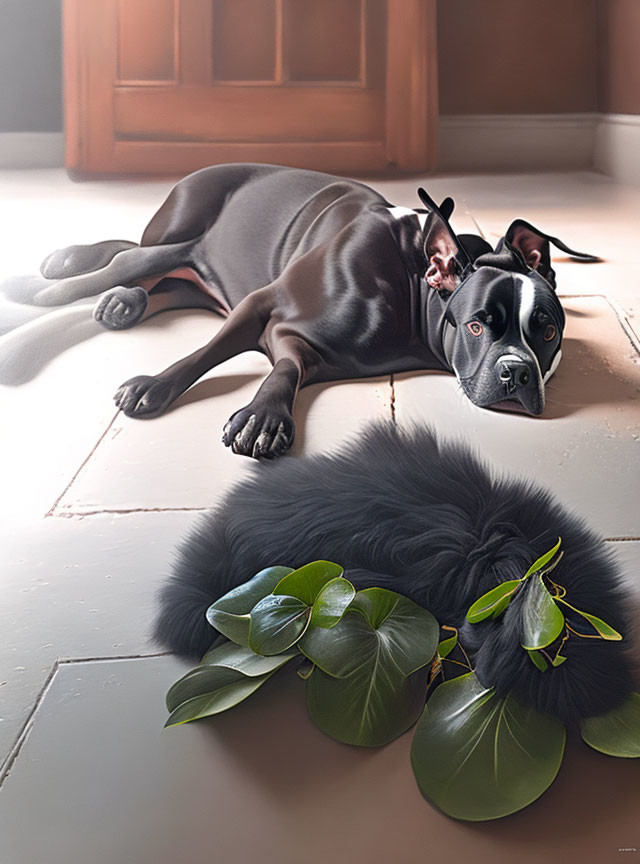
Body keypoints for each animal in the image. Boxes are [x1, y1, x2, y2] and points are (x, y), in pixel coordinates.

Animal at [32, 164, 596, 460]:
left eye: (546, 332)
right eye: (478, 325)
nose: (516, 372)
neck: (410, 280)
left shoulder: (312, 348)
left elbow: (287, 366)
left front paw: (263, 412)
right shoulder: (262, 303)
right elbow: (207, 353)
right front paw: (155, 385)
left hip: (197, 275)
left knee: (161, 279)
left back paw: (125, 299)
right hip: (185, 229)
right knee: (131, 255)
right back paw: (66, 277)